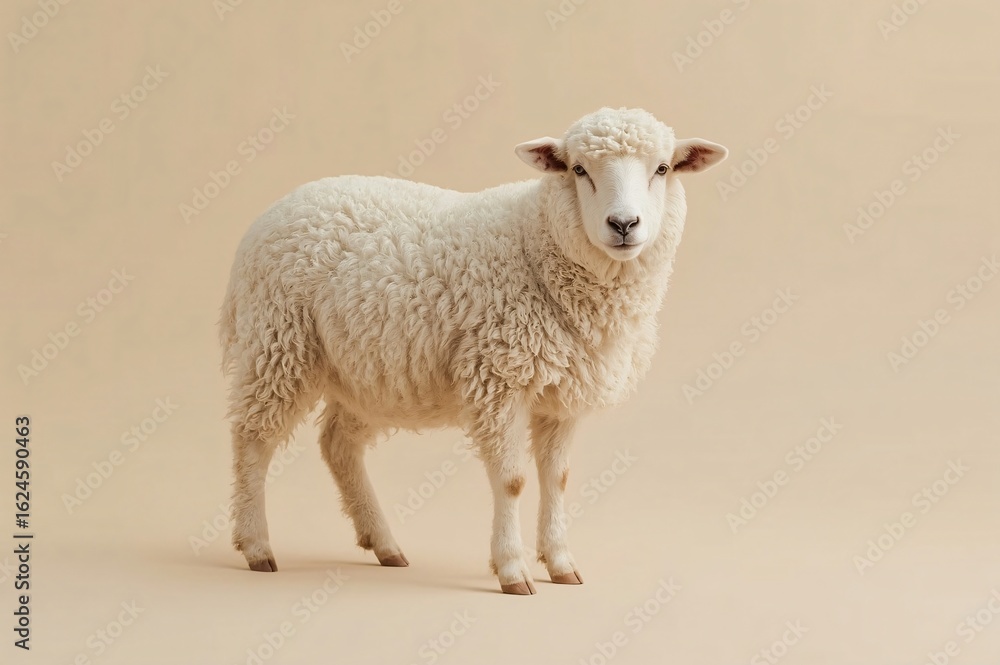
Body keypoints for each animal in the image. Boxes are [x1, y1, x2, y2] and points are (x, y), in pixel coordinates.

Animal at [219, 107, 727, 595]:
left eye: (662, 169)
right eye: (578, 169)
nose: (623, 224)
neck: (537, 243)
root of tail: (272, 212)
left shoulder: (563, 394)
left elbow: (557, 479)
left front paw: (560, 562)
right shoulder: (499, 377)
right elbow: (513, 480)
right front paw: (512, 570)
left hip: (366, 371)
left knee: (338, 445)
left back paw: (383, 542)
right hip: (278, 343)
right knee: (253, 440)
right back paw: (257, 545)